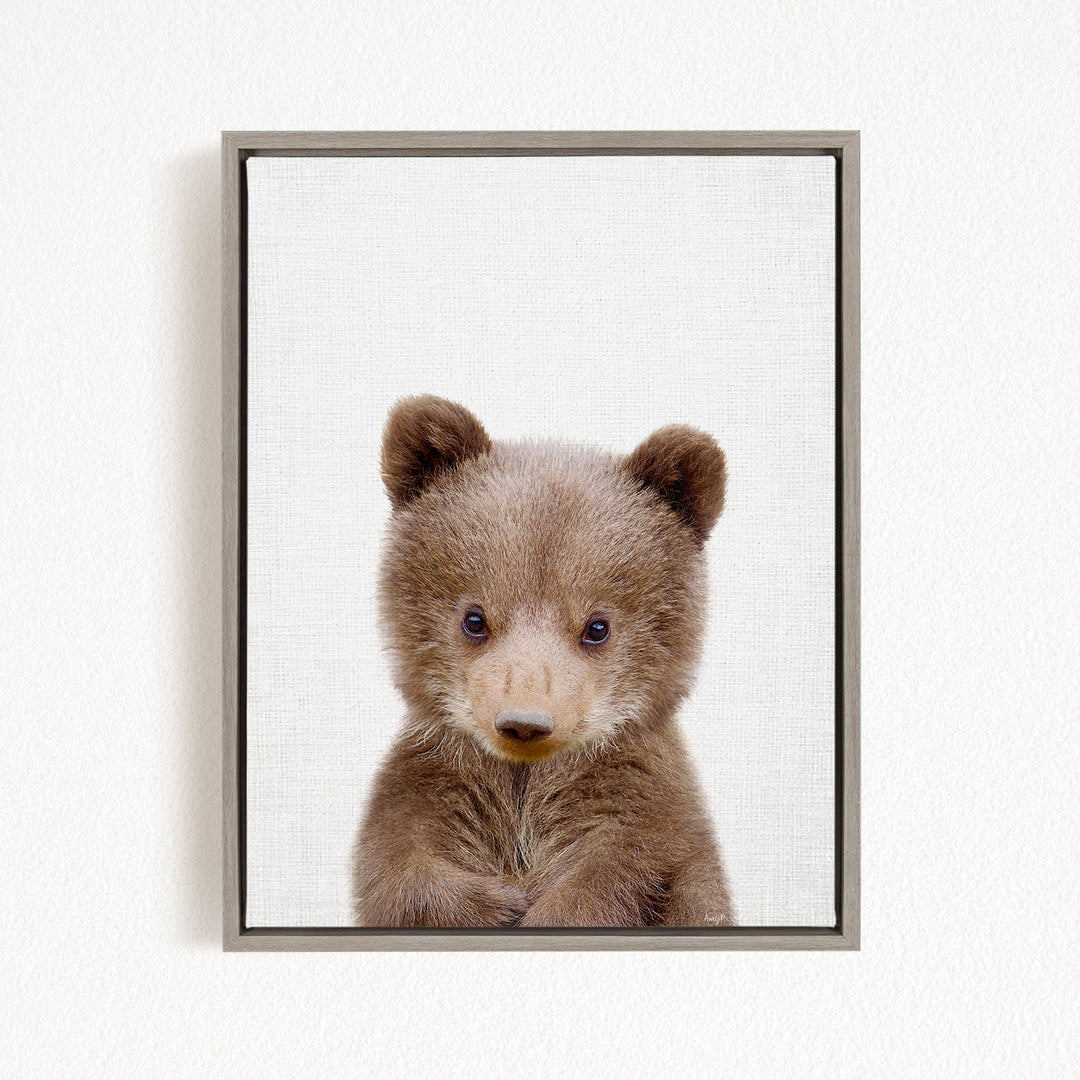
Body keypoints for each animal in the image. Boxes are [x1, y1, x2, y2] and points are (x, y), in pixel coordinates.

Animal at [352, 395, 734, 927]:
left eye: (598, 626)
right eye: (475, 618)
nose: (525, 722)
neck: (524, 782)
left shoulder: (640, 808)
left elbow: (621, 871)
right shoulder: (433, 784)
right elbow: (399, 867)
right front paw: (498, 904)